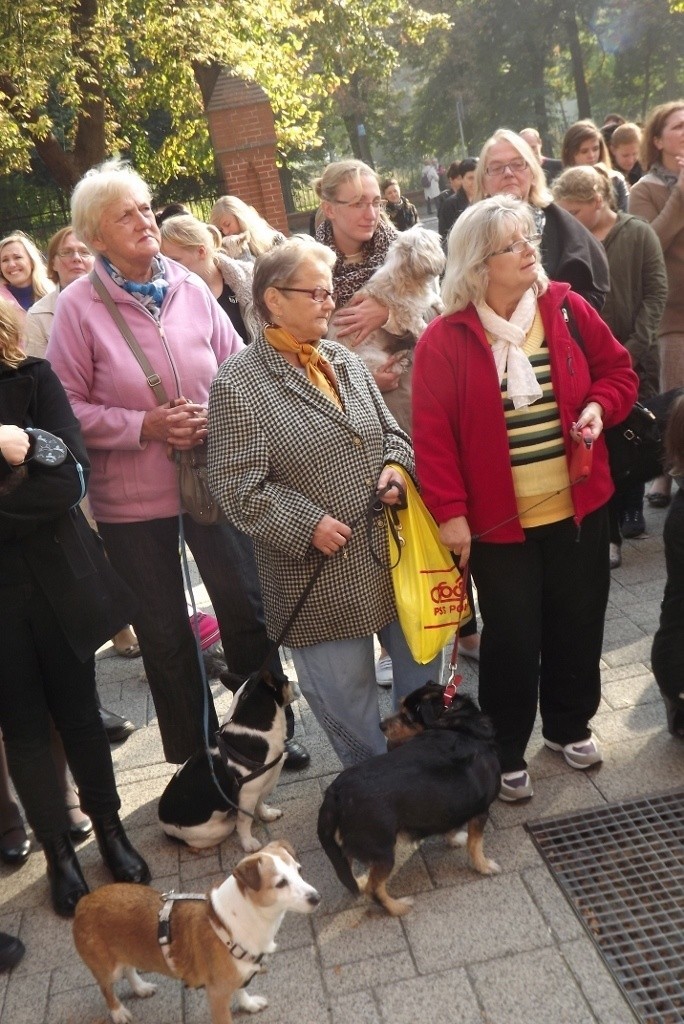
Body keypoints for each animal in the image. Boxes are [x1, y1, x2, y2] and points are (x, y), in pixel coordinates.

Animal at [73, 839, 319, 1024]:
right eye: (280, 883)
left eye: (299, 870)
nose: (317, 898)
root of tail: (84, 901)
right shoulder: (217, 995)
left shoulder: (236, 978)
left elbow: (240, 991)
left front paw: (248, 1004)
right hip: (107, 968)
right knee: (107, 988)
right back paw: (118, 1012)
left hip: (127, 951)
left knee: (129, 968)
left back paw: (141, 988)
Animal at [158, 671, 292, 856]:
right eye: (285, 679)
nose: (294, 682)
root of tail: (165, 828)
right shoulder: (248, 794)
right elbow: (244, 821)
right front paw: (248, 842)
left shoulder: (260, 788)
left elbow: (260, 804)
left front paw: (267, 815)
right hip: (218, 829)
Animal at [317, 684, 499, 917]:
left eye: (407, 715)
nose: (381, 725)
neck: (458, 723)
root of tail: (336, 793)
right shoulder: (481, 811)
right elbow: (476, 845)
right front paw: (484, 866)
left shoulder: (449, 803)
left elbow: (450, 825)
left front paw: (453, 838)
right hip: (384, 852)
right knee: (374, 889)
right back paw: (397, 907)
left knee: (348, 870)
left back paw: (360, 881)